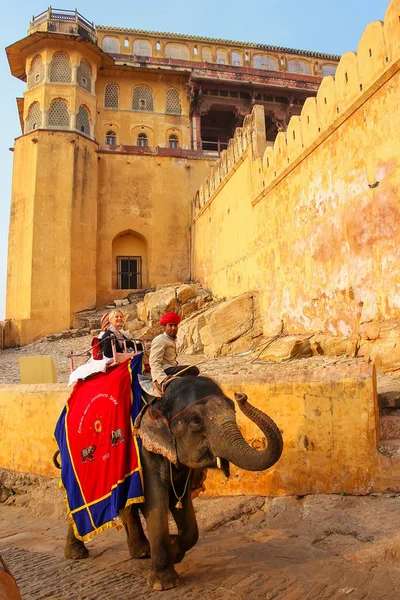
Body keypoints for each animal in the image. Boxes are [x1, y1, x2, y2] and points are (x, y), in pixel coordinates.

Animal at [62, 376, 282, 592]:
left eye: (234, 410)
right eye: (195, 421)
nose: (241, 396)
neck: (158, 400)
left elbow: (183, 507)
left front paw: (175, 550)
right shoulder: (145, 449)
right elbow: (155, 502)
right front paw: (164, 583)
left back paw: (141, 552)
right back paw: (77, 553)